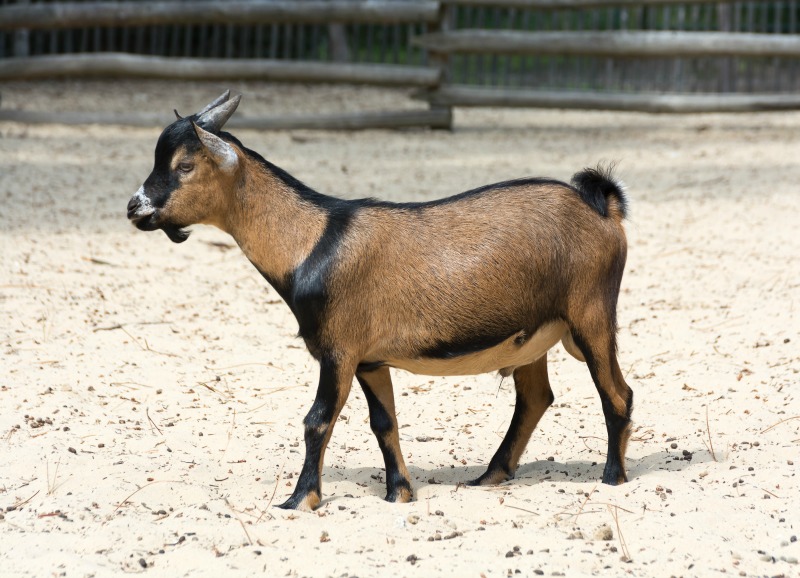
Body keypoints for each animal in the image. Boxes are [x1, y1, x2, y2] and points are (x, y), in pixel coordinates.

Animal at [126, 90, 636, 508]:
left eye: (184, 166)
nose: (135, 207)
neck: (311, 240)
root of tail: (603, 208)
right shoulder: (369, 359)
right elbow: (383, 423)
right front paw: (400, 492)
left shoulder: (338, 350)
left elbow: (317, 420)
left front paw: (299, 501)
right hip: (532, 335)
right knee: (535, 398)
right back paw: (490, 476)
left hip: (590, 315)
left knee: (617, 392)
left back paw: (613, 477)